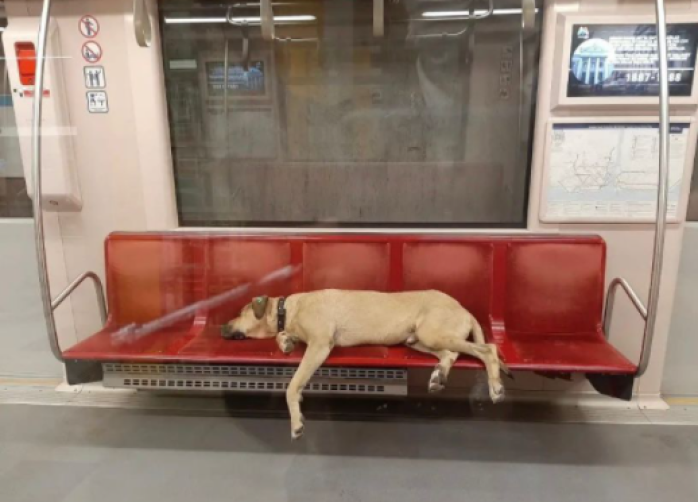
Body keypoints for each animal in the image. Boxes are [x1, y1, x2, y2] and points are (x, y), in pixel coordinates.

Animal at [222, 288, 506, 438]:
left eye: (240, 312)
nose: (221, 327)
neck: (290, 309)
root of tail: (464, 309)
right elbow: (284, 338)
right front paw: (285, 342)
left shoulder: (319, 345)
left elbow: (292, 387)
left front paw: (296, 422)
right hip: (418, 340)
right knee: (451, 354)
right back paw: (438, 377)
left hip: (432, 333)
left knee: (488, 349)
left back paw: (496, 389)